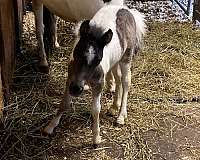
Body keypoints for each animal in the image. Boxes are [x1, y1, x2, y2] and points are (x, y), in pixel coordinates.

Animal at [43, 5, 146, 146]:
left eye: (98, 60)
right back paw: (114, 107)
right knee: (118, 78)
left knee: (125, 82)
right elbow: (64, 103)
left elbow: (96, 109)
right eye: (77, 53)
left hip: (126, 58)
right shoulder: (70, 79)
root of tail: (127, 9)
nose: (76, 89)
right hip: (115, 61)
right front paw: (50, 127)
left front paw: (96, 138)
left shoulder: (98, 84)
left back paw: (121, 116)